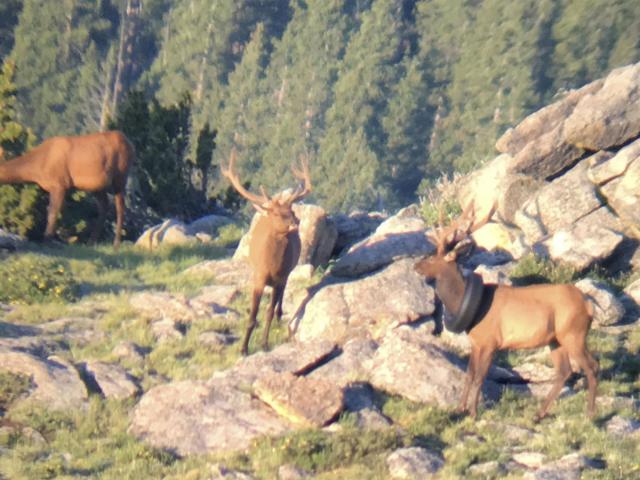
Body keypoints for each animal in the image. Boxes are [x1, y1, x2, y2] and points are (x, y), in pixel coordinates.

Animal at [0, 131, 134, 247]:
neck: (37, 168)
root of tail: (129, 143)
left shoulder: (59, 184)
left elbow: (52, 213)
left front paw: (47, 240)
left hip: (120, 176)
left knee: (120, 207)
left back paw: (116, 243)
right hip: (97, 186)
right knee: (104, 207)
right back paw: (91, 242)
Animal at [221, 147, 312, 356]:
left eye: (292, 212)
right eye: (277, 214)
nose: (295, 224)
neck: (272, 265)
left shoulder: (280, 277)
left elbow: (268, 312)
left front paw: (264, 344)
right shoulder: (259, 277)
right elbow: (252, 316)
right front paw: (244, 349)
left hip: (287, 274)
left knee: (280, 298)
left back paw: (279, 315)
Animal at [414, 202, 598, 421]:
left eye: (434, 258)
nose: (416, 265)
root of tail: (588, 305)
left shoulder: (491, 342)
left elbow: (480, 377)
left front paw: (473, 413)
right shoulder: (476, 342)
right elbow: (469, 375)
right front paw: (459, 409)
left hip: (574, 333)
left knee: (592, 366)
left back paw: (590, 414)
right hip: (556, 339)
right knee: (565, 371)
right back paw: (538, 414)